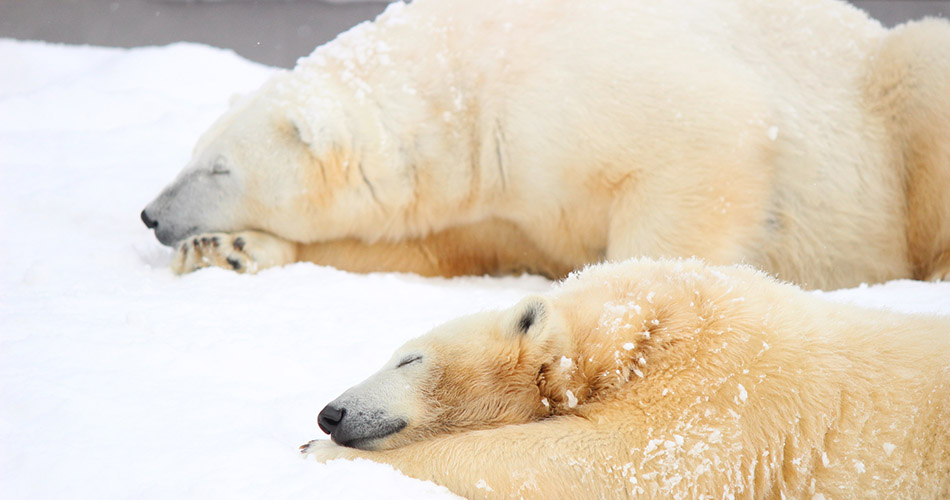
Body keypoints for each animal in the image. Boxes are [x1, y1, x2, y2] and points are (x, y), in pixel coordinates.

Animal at [139, 0, 950, 290]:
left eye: (219, 166)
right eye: (192, 150)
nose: (151, 215)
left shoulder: (571, 88)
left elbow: (703, 139)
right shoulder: (491, 201)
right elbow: (425, 251)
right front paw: (227, 249)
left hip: (889, 90)